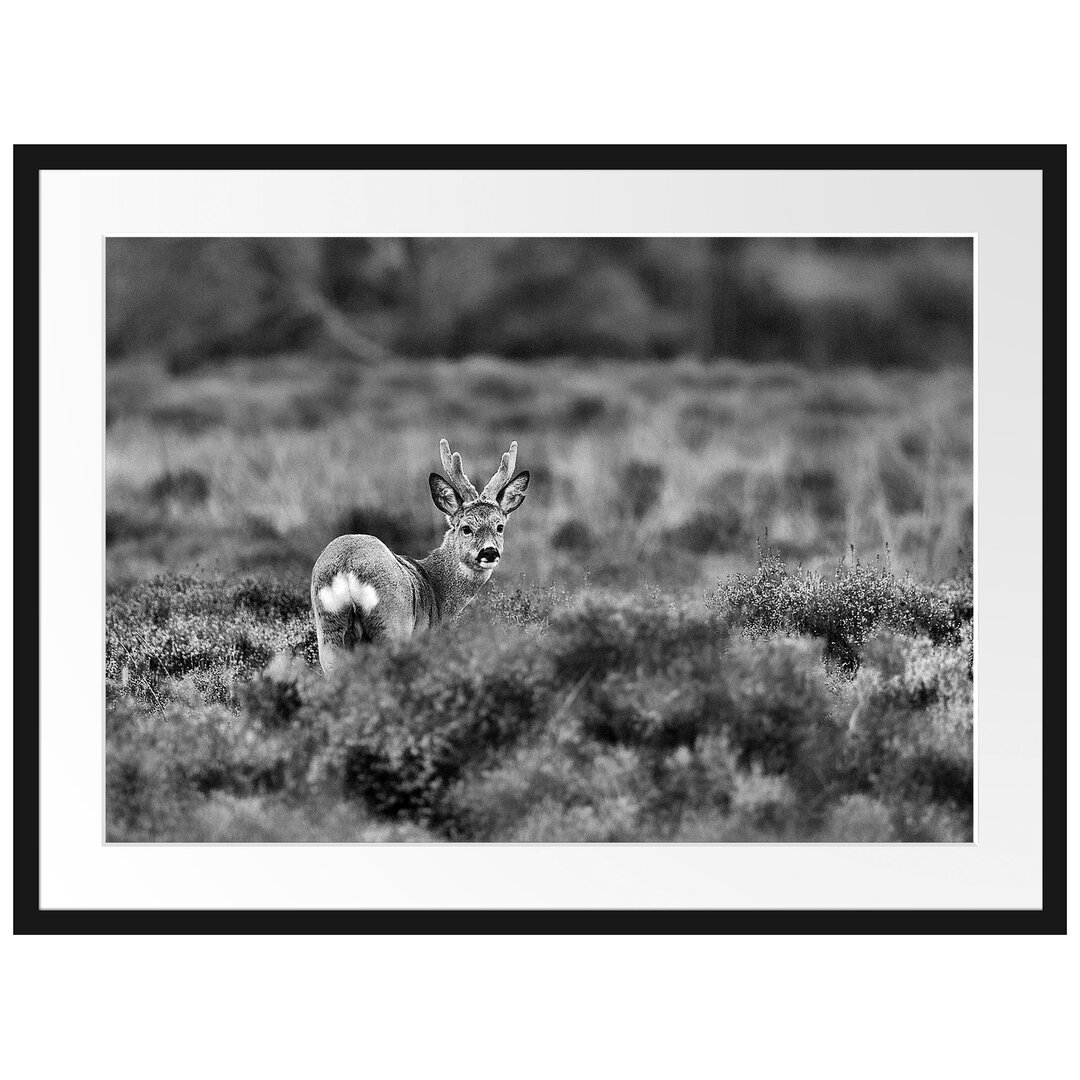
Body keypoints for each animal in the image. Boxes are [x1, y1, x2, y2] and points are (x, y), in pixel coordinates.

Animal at [311, 438, 529, 673]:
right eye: (466, 528)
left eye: (499, 527)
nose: (489, 552)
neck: (436, 588)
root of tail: (347, 566)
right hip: (392, 623)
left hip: (329, 630)